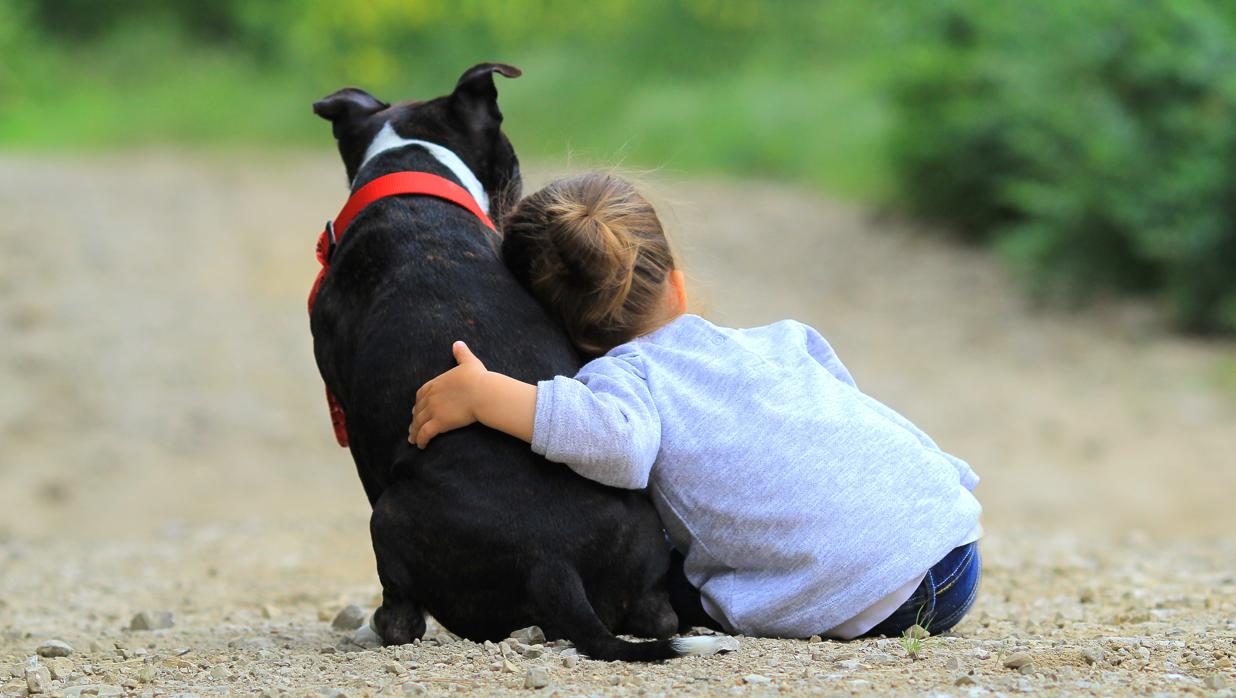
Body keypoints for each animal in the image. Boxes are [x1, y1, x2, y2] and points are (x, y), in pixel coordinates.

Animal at [311, 61, 731, 657]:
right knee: (658, 618)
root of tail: (552, 563)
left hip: (387, 518)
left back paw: (377, 627)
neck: (411, 172)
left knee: (403, 618)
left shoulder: (354, 424)